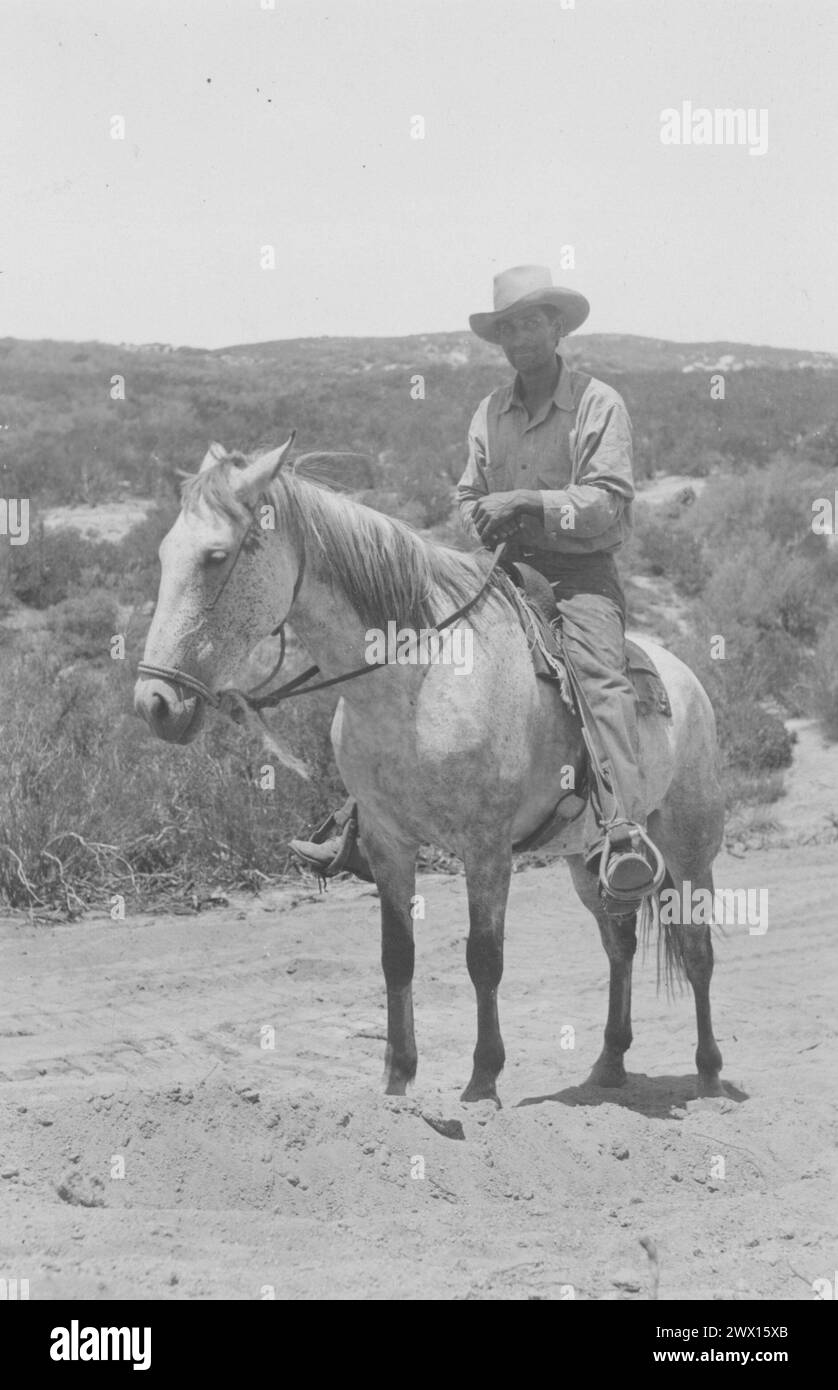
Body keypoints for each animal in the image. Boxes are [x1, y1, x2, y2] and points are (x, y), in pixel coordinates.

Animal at [134, 439, 722, 1100]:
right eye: (164, 554)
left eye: (216, 557)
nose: (155, 703)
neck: (416, 681)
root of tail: (686, 677)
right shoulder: (388, 842)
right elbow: (398, 956)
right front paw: (397, 1078)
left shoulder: (485, 847)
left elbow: (484, 957)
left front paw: (483, 1080)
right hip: (586, 857)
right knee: (619, 943)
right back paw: (609, 1064)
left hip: (690, 847)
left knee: (697, 950)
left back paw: (709, 1072)